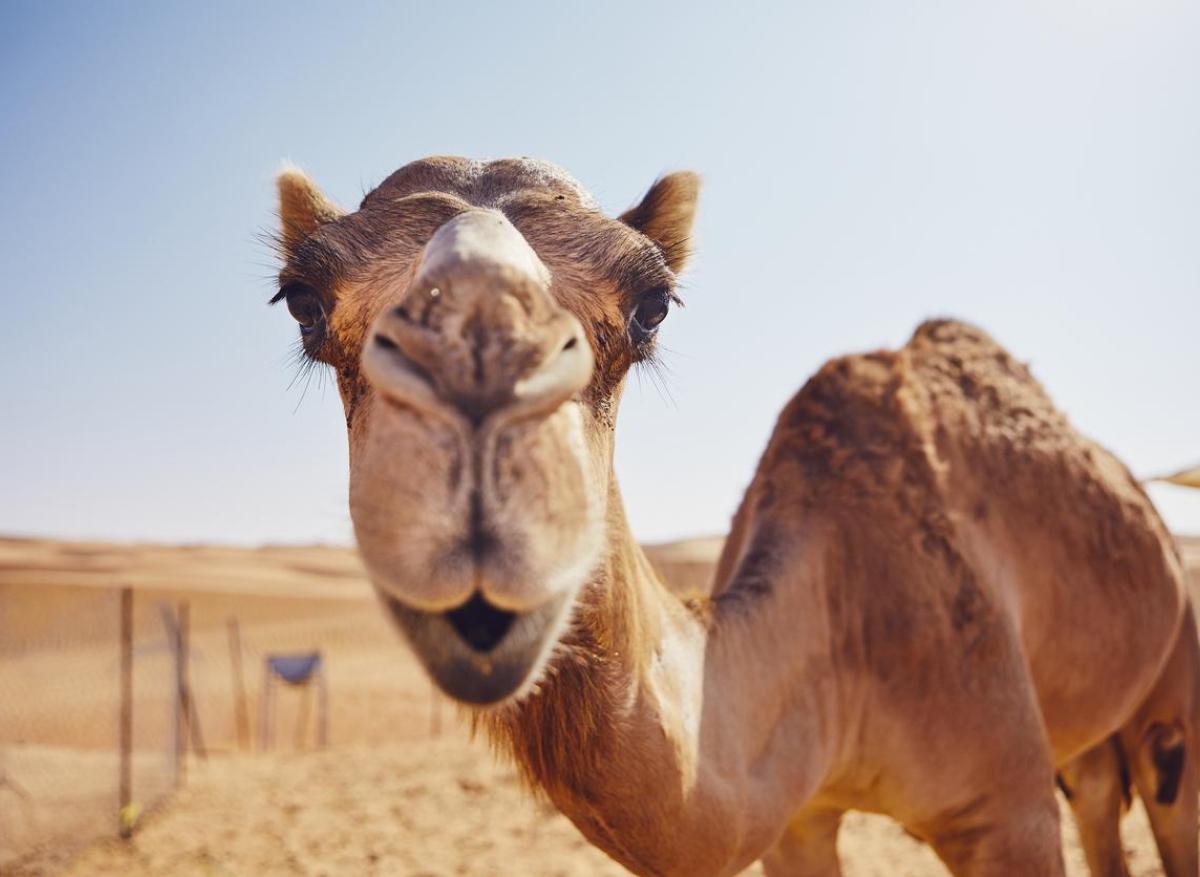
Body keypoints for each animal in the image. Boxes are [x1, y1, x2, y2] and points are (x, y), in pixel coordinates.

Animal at [270, 154, 1190, 873]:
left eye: (652, 304)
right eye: (303, 301)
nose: (479, 381)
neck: (848, 622)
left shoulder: (1008, 810)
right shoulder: (796, 820)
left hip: (1175, 679)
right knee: (1101, 799)